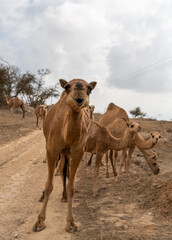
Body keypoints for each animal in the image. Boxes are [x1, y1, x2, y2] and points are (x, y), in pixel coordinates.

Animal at [32, 78, 97, 232]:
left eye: (90, 88)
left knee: (65, 171)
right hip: (60, 151)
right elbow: (49, 185)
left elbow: (71, 186)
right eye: (67, 87)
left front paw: (71, 223)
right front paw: (39, 222)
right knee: (61, 170)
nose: (79, 88)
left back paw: (64, 195)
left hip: (67, 153)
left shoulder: (78, 152)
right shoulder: (52, 149)